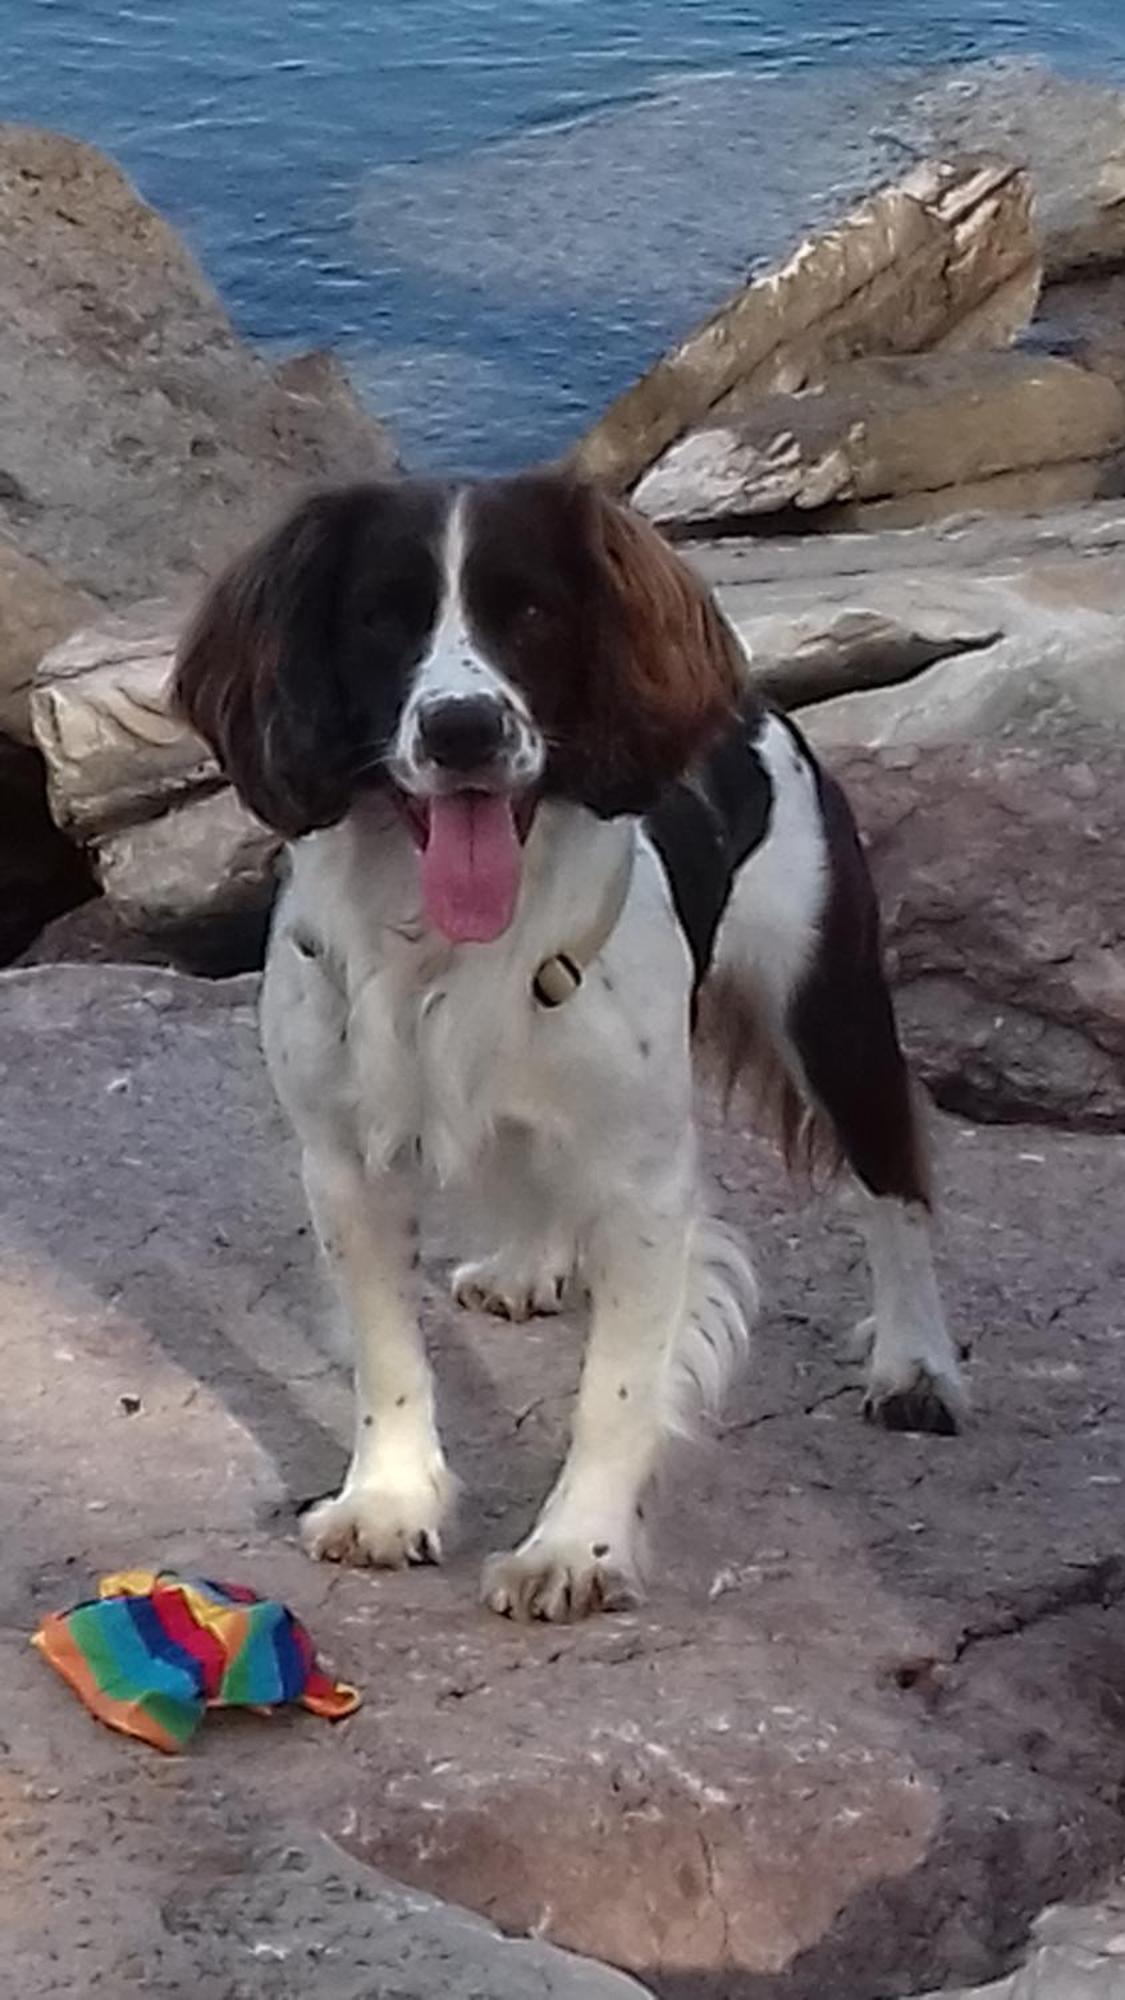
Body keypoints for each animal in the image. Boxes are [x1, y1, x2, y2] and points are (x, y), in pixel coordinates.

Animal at [177, 472, 964, 1624]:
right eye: (379, 618)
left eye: (534, 613)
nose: (462, 728)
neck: (448, 944)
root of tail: (751, 696)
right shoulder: (344, 1163)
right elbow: (387, 1352)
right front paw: (390, 1500)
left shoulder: (645, 1184)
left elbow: (617, 1386)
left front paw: (573, 1548)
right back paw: (532, 1262)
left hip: (829, 1004)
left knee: (891, 1183)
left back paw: (915, 1361)